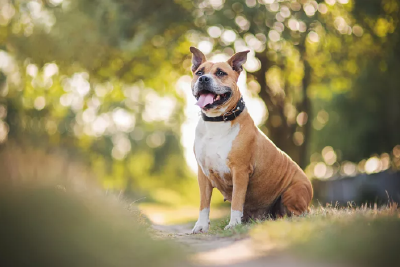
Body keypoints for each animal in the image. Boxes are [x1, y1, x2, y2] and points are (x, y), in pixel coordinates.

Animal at [189, 46, 314, 234]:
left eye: (220, 73)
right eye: (199, 72)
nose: (204, 79)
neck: (217, 122)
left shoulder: (240, 171)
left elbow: (236, 201)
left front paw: (233, 224)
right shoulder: (203, 173)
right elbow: (204, 203)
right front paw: (201, 226)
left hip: (292, 192)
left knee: (299, 214)